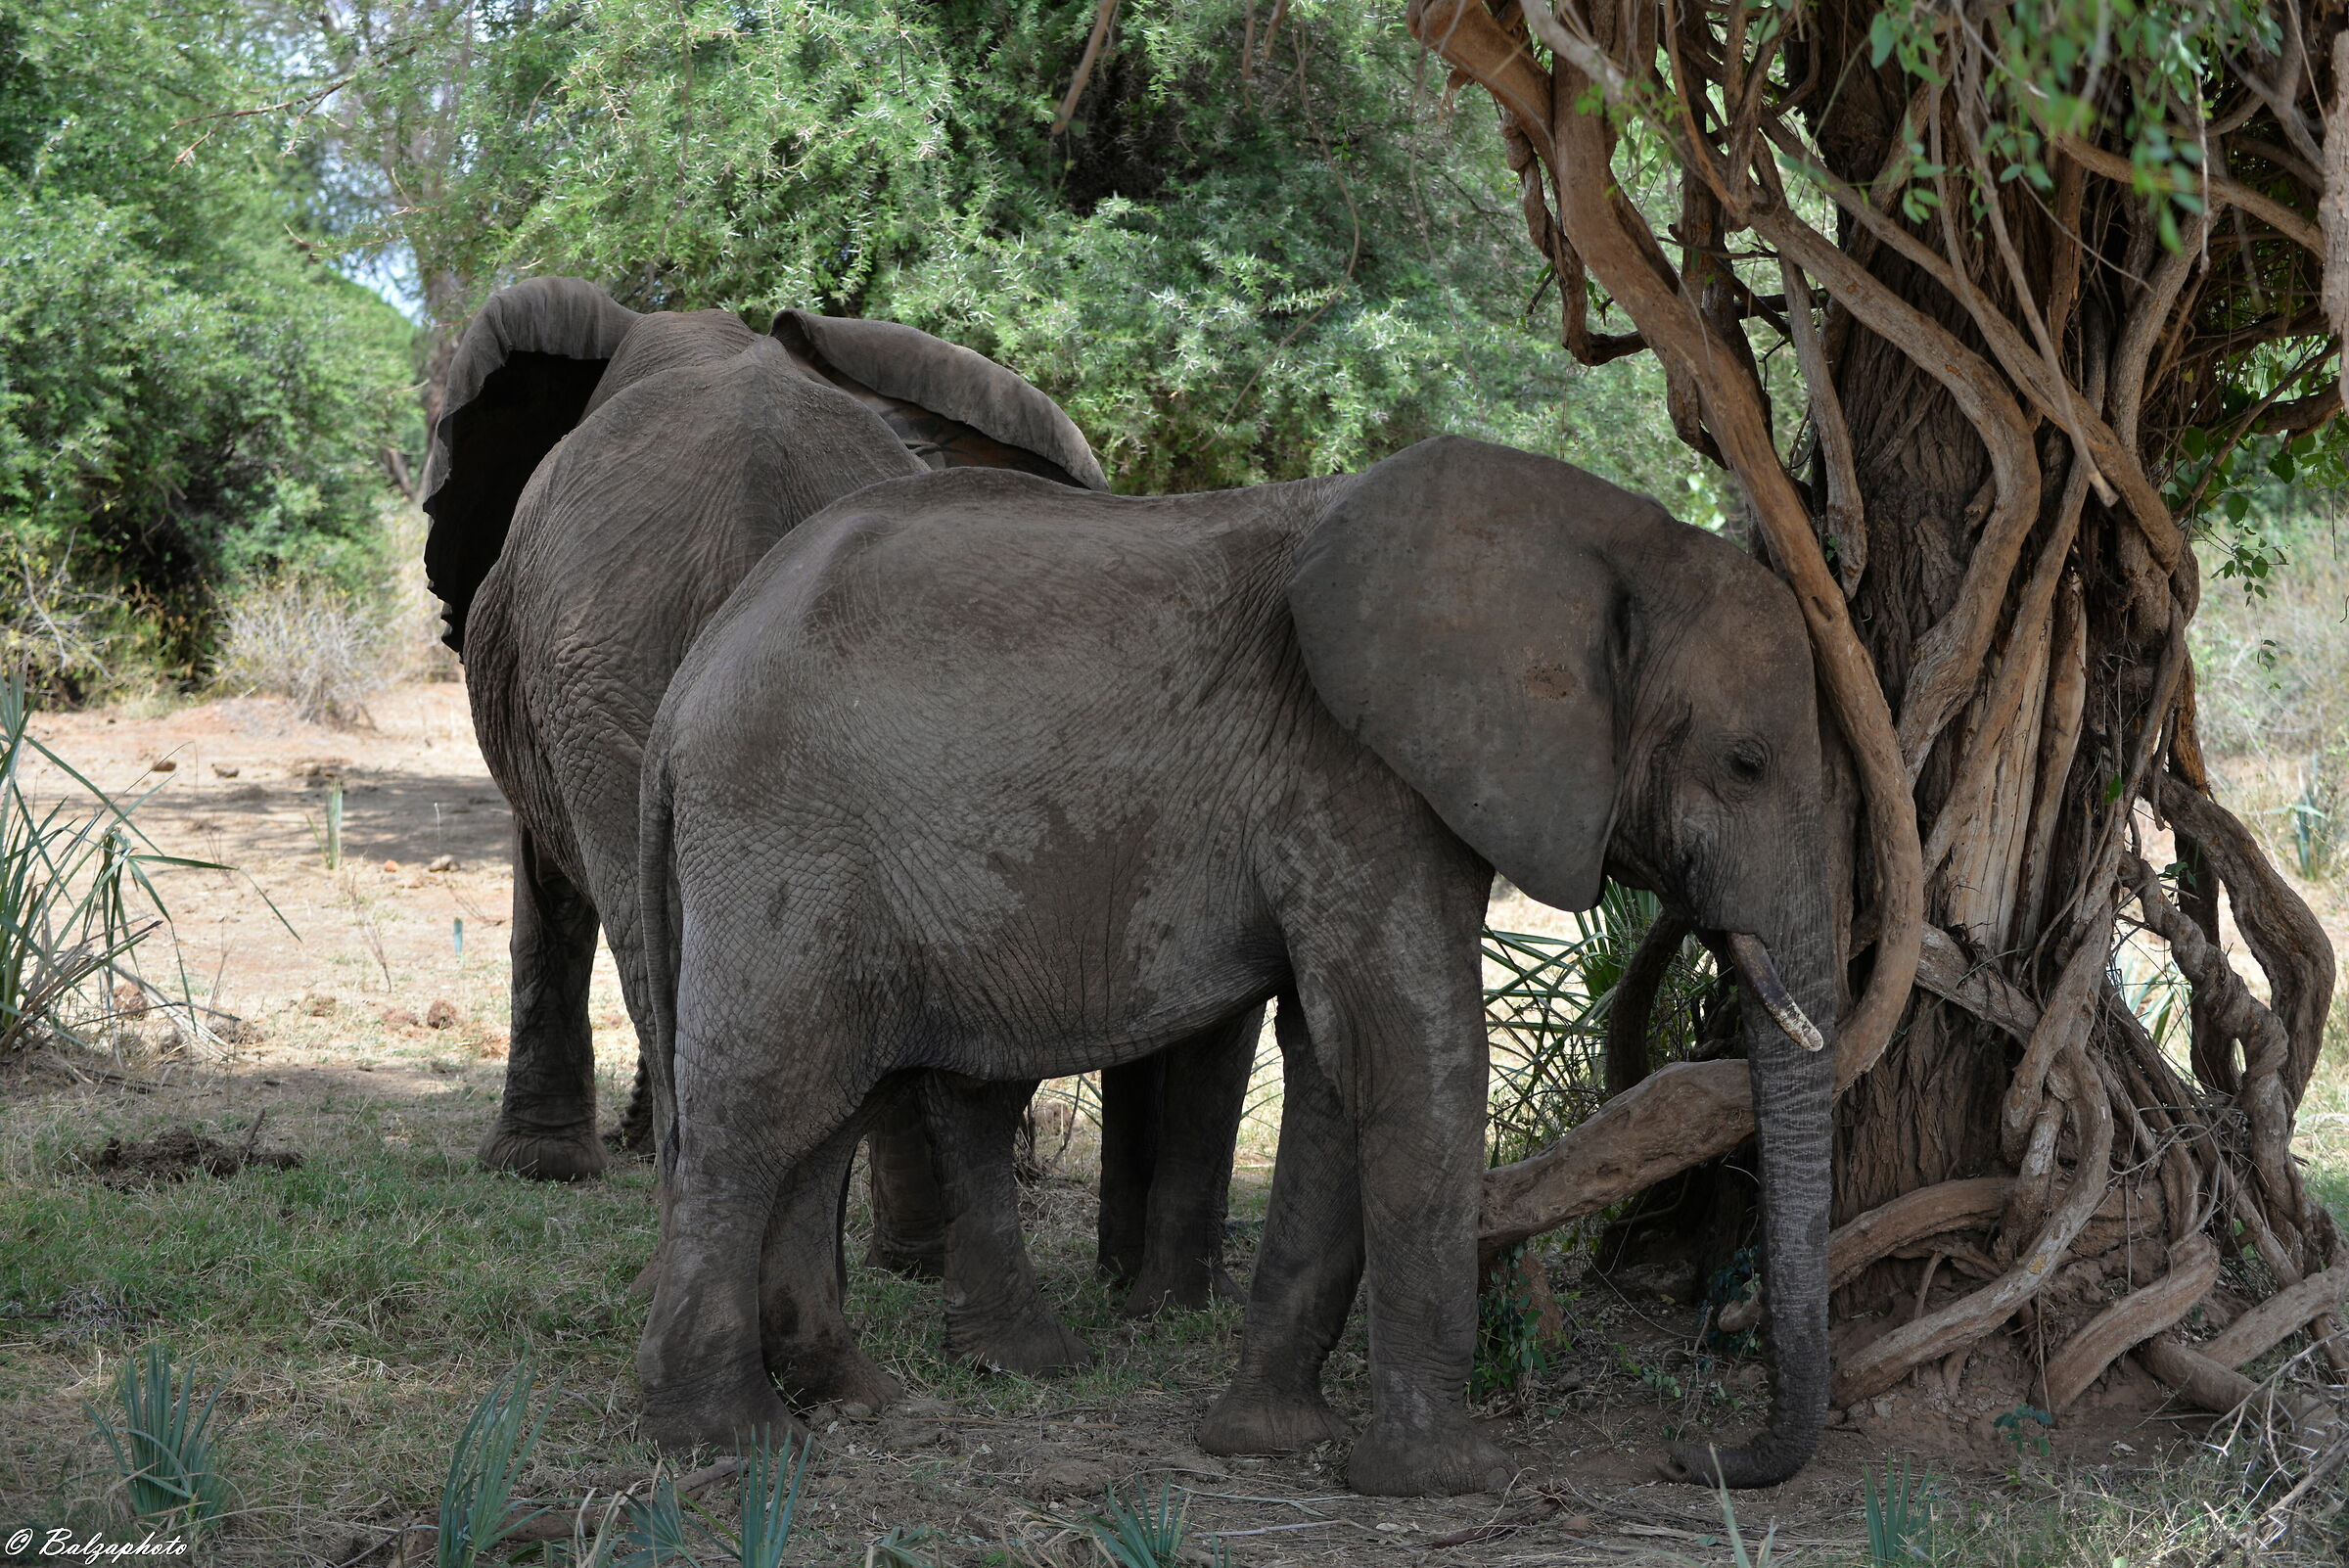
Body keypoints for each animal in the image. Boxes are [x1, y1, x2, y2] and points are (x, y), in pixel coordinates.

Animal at [420, 279, 1256, 1379]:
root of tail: (759, 510)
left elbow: (546, 883)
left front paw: (535, 1172)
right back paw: (887, 1273)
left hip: (604, 669)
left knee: (665, 968)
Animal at [633, 435, 1842, 1497]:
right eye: (1746, 761)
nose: (1692, 1458)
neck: (1613, 536)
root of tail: (683, 692)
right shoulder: (1358, 772)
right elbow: (1411, 1053)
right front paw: (1446, 1481)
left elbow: (1334, 1066)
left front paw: (1263, 1442)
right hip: (784, 840)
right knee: (757, 1111)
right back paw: (731, 1441)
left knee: (824, 1116)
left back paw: (855, 1395)